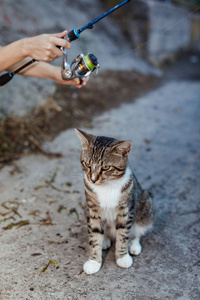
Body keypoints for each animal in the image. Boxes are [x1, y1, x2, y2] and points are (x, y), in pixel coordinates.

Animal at [75, 129, 155, 274]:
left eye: (106, 167)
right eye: (87, 164)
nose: (92, 179)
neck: (107, 187)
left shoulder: (126, 210)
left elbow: (123, 234)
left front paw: (122, 257)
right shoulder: (92, 209)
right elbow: (94, 235)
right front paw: (94, 262)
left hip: (146, 204)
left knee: (137, 231)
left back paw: (133, 245)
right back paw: (105, 240)